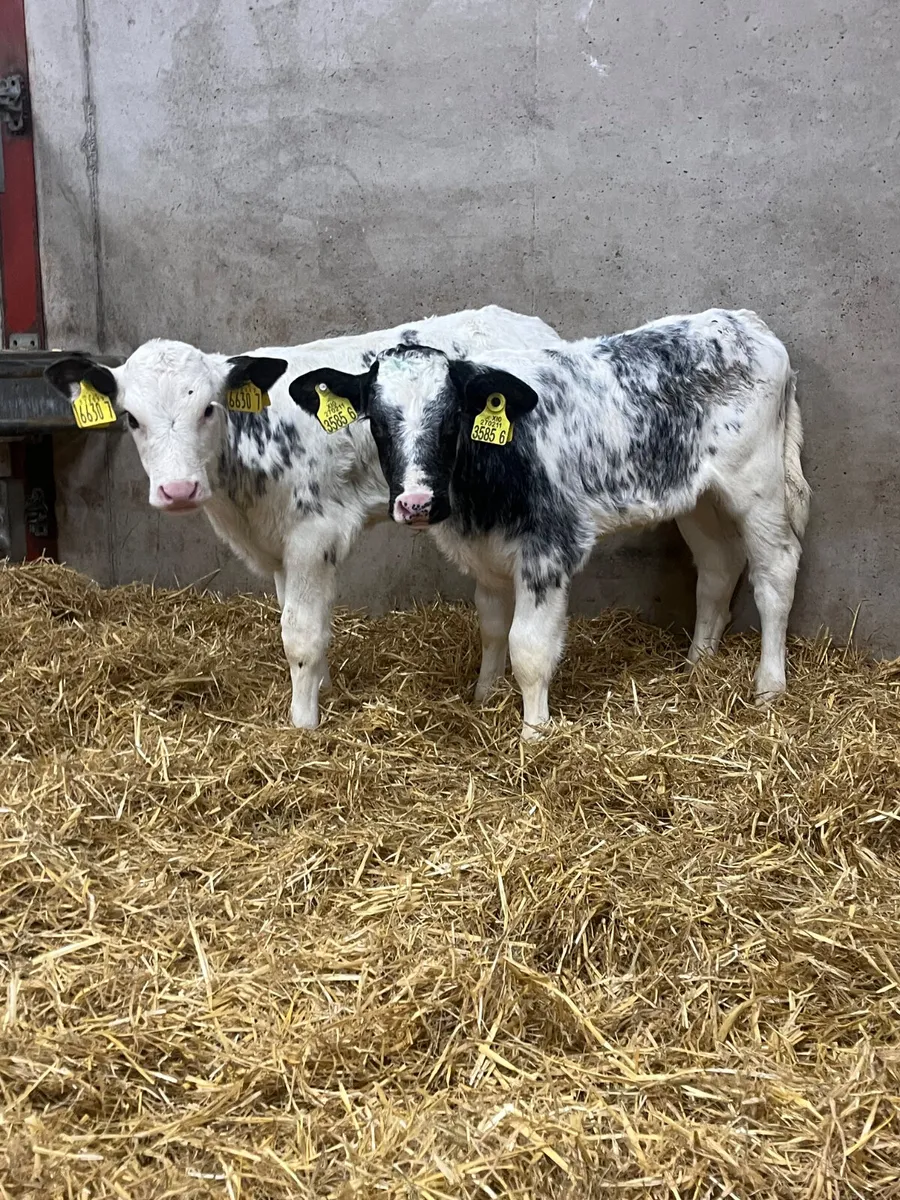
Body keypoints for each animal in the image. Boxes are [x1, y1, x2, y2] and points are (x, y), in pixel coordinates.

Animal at [44, 306, 563, 729]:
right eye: (131, 419)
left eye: (208, 409)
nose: (177, 490)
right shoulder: (278, 548)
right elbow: (303, 623)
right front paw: (323, 691)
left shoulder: (314, 536)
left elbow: (300, 635)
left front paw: (303, 723)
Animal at [287, 309, 811, 739]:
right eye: (376, 424)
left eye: (452, 420)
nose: (416, 503)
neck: (482, 489)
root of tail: (741, 320)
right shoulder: (487, 554)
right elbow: (492, 627)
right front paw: (484, 697)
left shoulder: (549, 550)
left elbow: (529, 647)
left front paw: (534, 734)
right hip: (699, 497)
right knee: (718, 570)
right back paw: (697, 667)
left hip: (759, 486)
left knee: (776, 573)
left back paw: (769, 687)